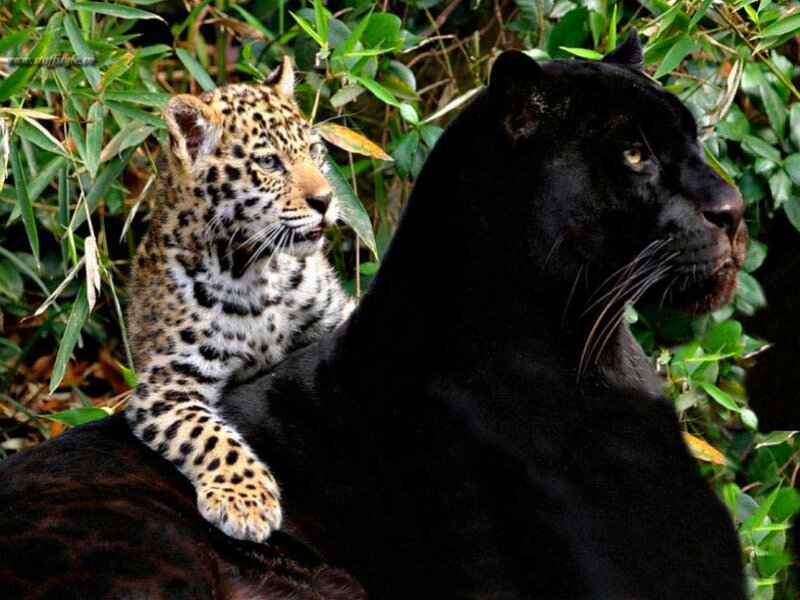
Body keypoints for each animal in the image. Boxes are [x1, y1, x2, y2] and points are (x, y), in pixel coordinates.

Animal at [125, 56, 354, 544]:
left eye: (314, 151)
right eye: (270, 163)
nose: (326, 200)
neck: (255, 270)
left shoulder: (335, 316)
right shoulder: (166, 386)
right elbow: (209, 436)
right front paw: (245, 501)